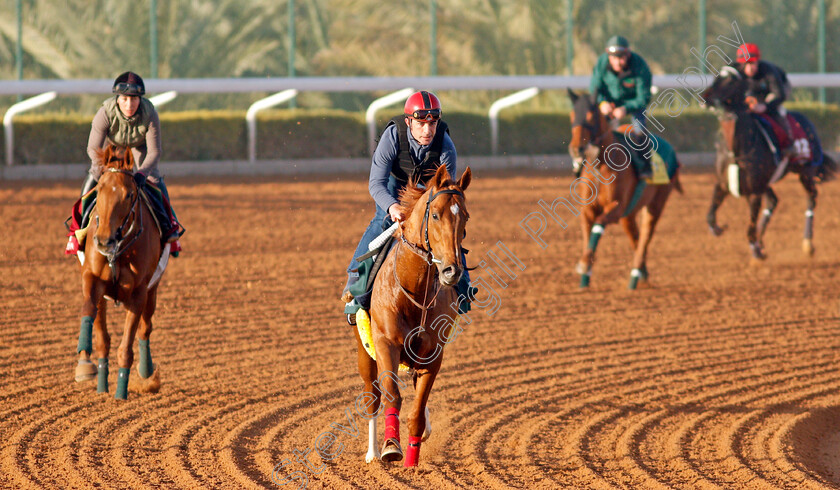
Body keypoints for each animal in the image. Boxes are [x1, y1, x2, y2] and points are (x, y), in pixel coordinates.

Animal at [74, 145, 168, 398]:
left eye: (128, 195)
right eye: (99, 190)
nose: (104, 241)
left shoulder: (138, 292)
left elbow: (127, 346)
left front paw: (120, 393)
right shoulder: (92, 279)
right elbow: (90, 317)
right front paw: (86, 366)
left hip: (152, 291)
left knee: (146, 328)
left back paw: (146, 372)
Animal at [354, 164, 472, 468]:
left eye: (465, 216)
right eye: (435, 214)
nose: (452, 271)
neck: (414, 290)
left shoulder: (433, 354)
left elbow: (418, 411)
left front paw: (411, 460)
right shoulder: (385, 344)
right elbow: (392, 396)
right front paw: (390, 447)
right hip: (364, 350)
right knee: (372, 397)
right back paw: (371, 453)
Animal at [564, 90, 684, 290]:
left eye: (590, 116)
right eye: (572, 115)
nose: (576, 149)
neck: (601, 166)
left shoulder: (617, 207)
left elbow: (598, 225)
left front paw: (584, 266)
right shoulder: (588, 209)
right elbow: (588, 232)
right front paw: (584, 277)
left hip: (656, 205)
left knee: (644, 238)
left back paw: (635, 275)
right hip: (629, 215)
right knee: (635, 237)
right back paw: (642, 273)